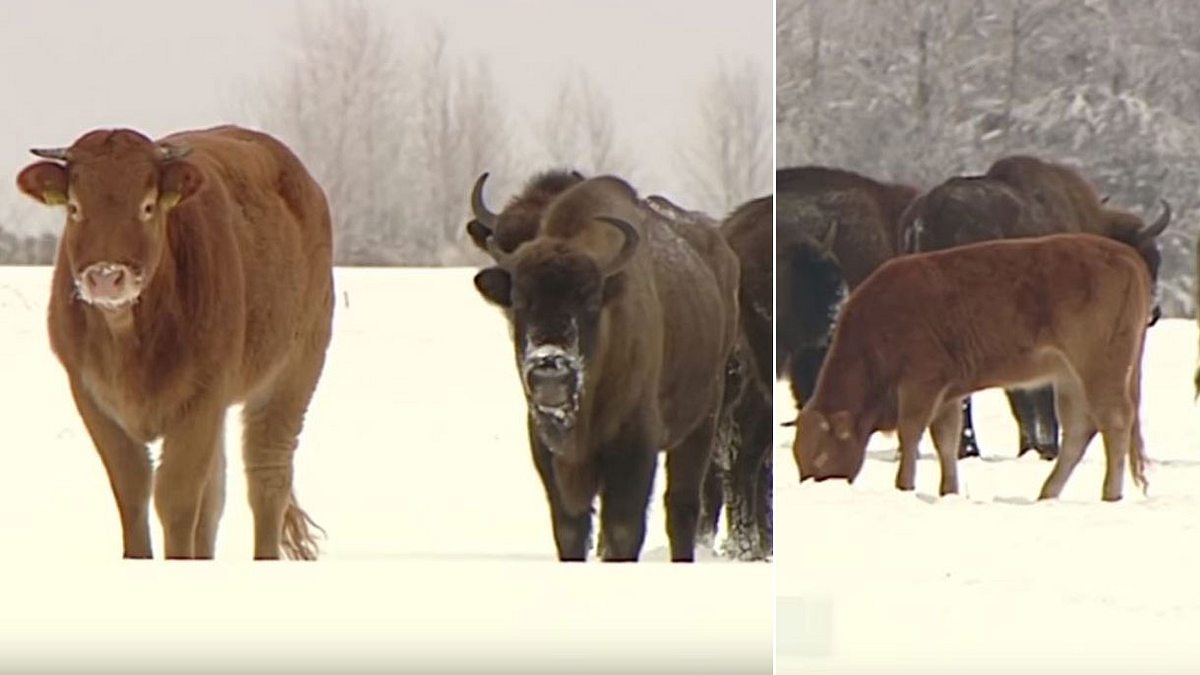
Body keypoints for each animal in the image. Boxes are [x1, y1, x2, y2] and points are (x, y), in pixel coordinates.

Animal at [18, 124, 336, 557]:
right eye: (75, 208)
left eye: (148, 206)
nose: (105, 277)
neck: (127, 337)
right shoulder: (89, 394)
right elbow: (133, 489)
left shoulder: (203, 397)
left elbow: (177, 498)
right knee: (215, 497)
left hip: (295, 370)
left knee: (267, 477)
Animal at [463, 171, 734, 557]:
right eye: (519, 297)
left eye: (590, 300)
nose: (550, 371)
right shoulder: (549, 453)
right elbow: (572, 532)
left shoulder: (634, 445)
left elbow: (623, 530)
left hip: (701, 422)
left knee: (681, 507)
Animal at [796, 230, 1152, 499]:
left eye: (821, 454)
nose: (812, 484)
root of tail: (1123, 254)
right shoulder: (948, 393)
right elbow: (946, 439)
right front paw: (949, 491)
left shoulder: (920, 383)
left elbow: (911, 433)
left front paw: (904, 486)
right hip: (1068, 379)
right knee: (1079, 431)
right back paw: (1046, 494)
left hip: (1099, 369)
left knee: (1115, 421)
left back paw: (1109, 494)